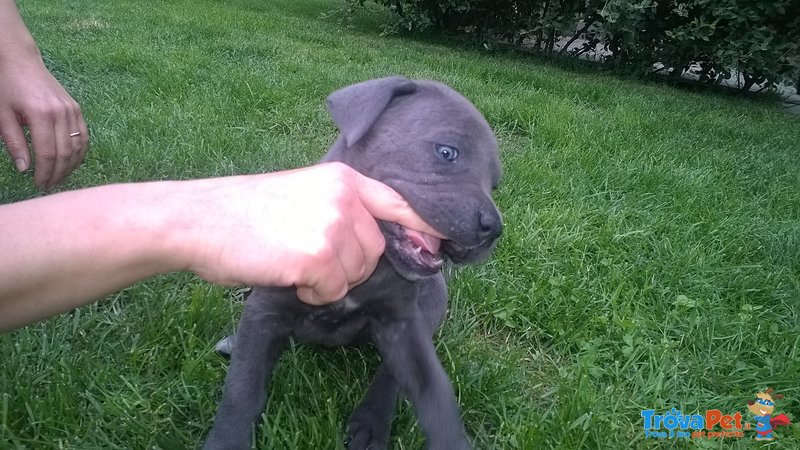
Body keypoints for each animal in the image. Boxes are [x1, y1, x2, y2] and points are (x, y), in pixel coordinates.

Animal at [206, 77, 504, 450]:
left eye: (495, 184)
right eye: (447, 152)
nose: (494, 228)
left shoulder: (402, 322)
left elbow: (427, 386)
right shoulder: (265, 310)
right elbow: (242, 389)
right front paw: (225, 440)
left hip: (434, 299)